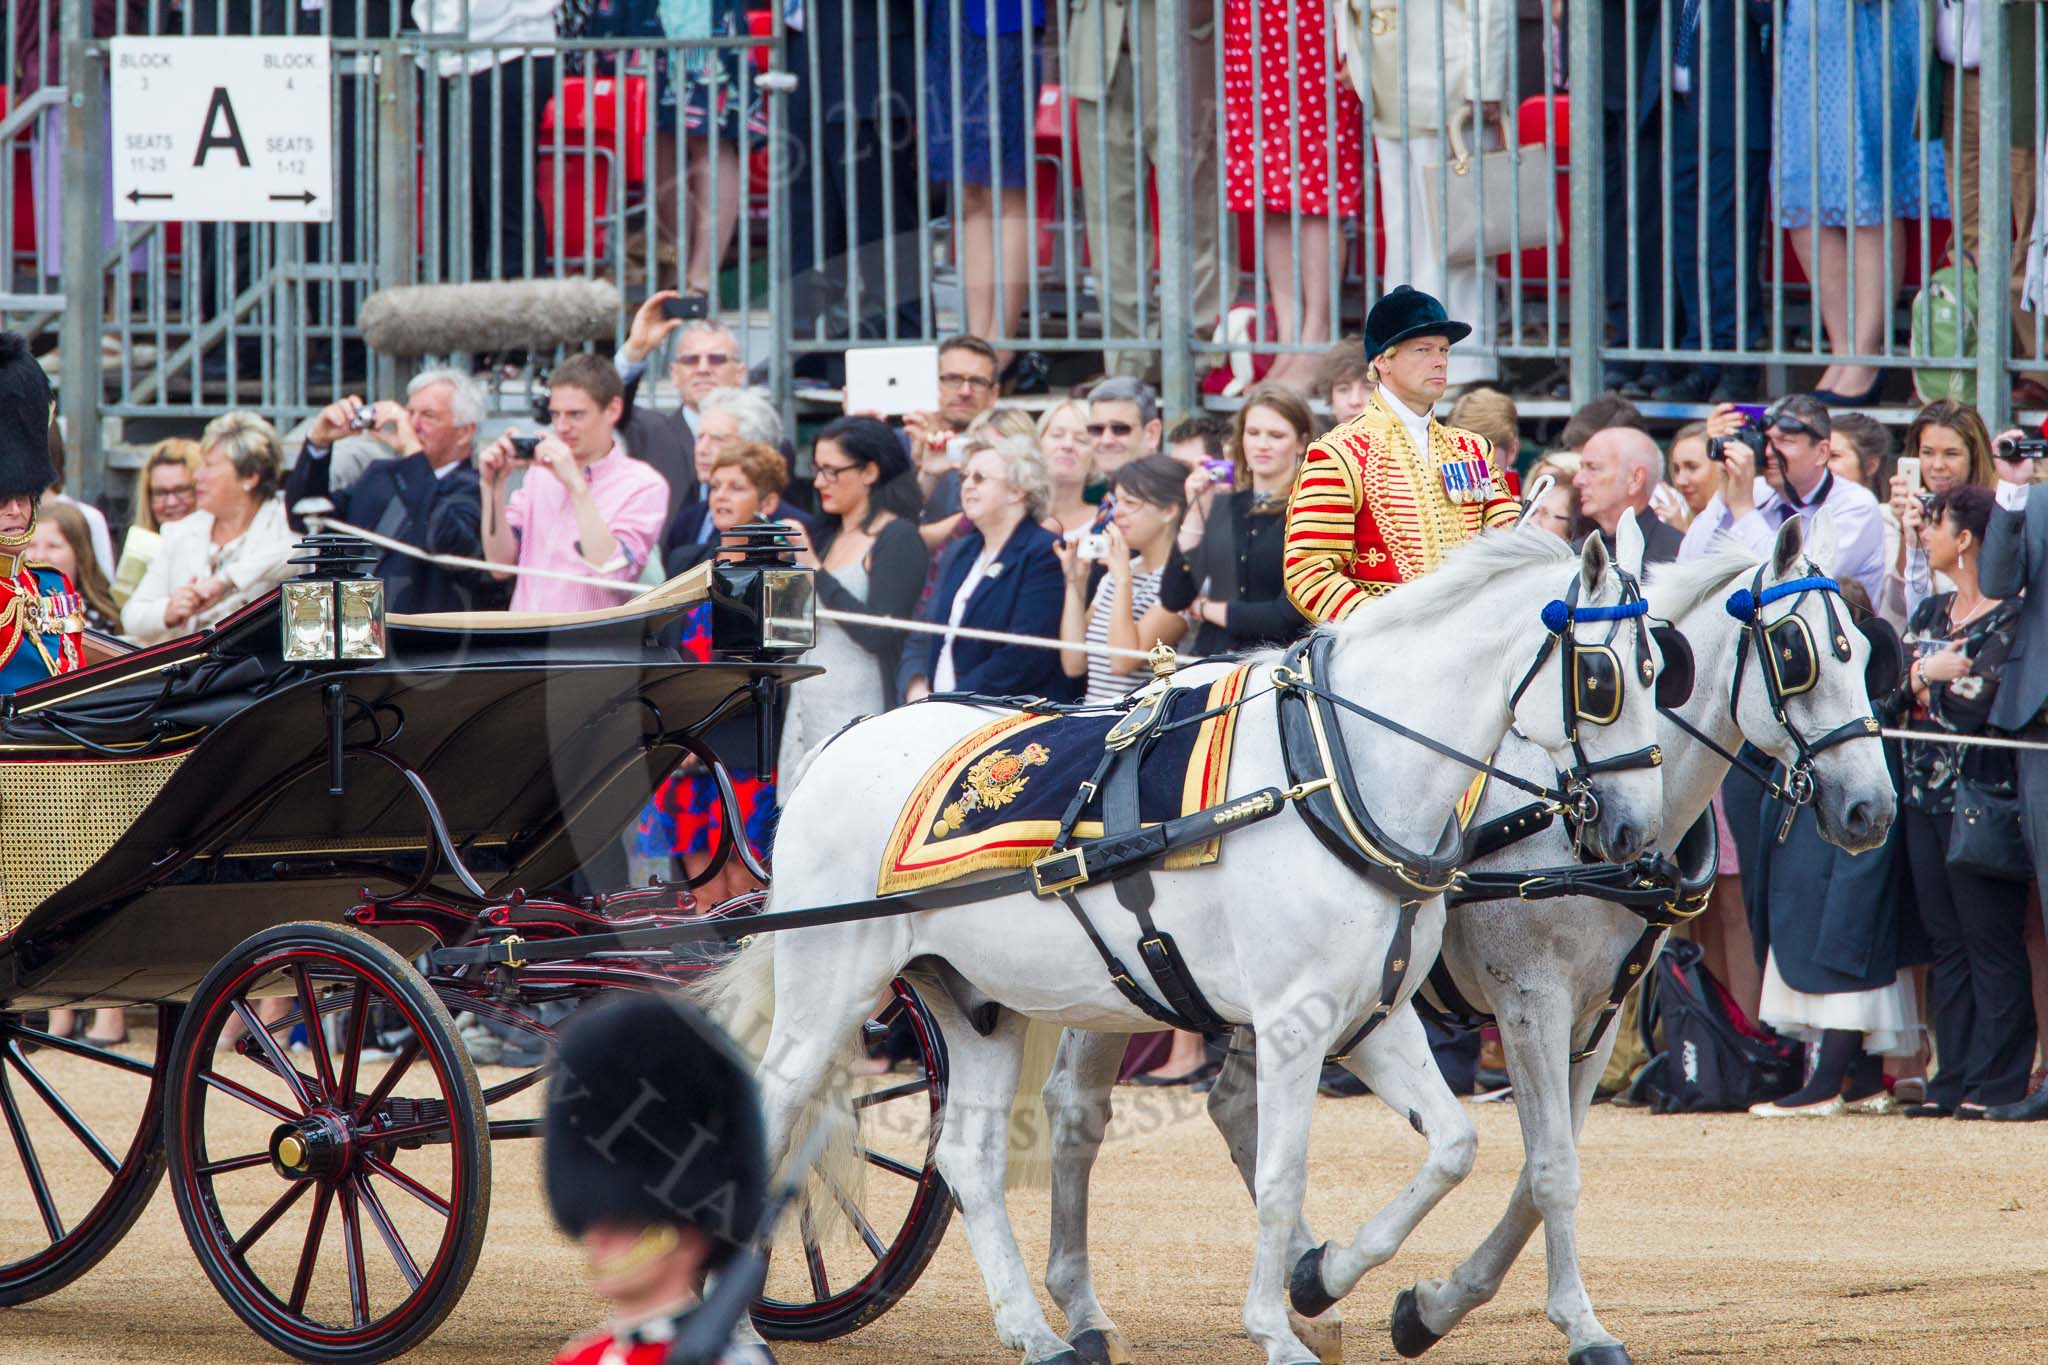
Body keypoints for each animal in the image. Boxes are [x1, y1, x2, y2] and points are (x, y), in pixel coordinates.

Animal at [712, 527, 1671, 1365]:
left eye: (1663, 667)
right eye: (1600, 676)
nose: (1635, 833)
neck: (1335, 771)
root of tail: (840, 742)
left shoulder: (1372, 1019)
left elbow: (1453, 1146)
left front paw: (1325, 1278)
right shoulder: (1292, 1024)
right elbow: (1281, 1176)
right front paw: (1278, 1326)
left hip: (978, 1004)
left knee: (966, 1161)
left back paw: (1037, 1332)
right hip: (831, 985)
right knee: (774, 1110)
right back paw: (742, 1332)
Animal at [1040, 507, 1900, 1358]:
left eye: (1867, 654)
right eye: (1798, 654)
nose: (1874, 810)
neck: (1562, 823)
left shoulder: (1597, 1017)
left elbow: (1544, 1168)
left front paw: (1434, 1305)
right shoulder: (1530, 1002)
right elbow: (1550, 1169)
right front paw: (1572, 1323)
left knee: (1231, 1105)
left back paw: (1306, 1280)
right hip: (1125, 988)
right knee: (1078, 1110)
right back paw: (1084, 1311)